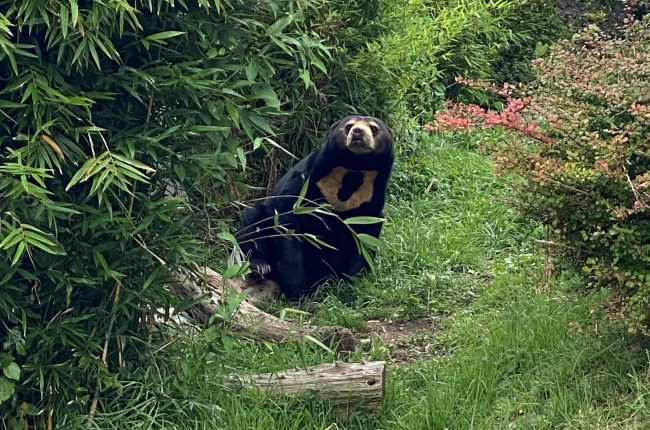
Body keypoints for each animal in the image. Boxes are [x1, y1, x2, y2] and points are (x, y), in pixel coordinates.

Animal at [234, 116, 392, 298]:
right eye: (349, 126)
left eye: (374, 128)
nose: (358, 132)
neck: (353, 168)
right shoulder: (304, 180)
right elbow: (287, 220)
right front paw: (296, 285)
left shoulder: (370, 197)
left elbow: (365, 236)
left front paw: (355, 283)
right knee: (253, 218)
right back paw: (260, 267)